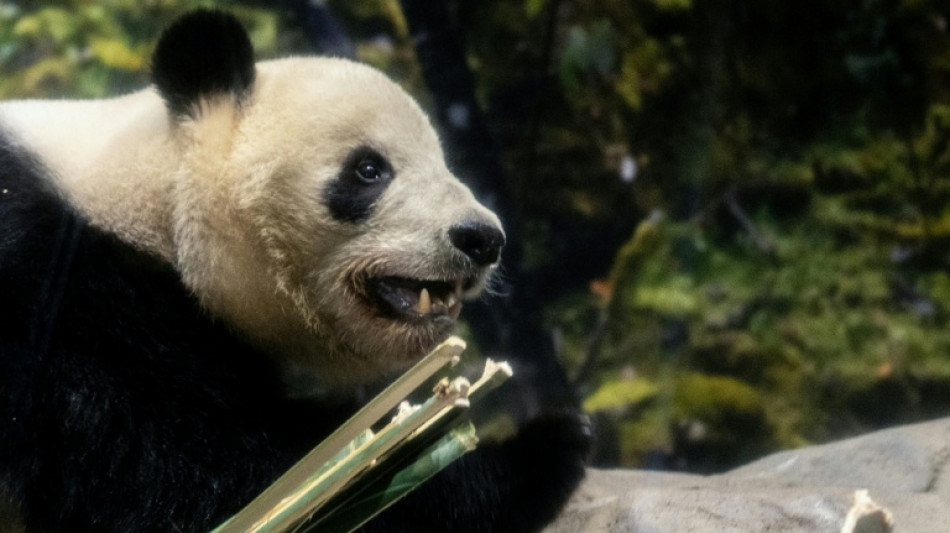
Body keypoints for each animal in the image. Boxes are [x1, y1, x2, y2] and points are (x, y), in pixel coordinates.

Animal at [0, 9, 588, 533]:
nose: (483, 238)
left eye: (443, 162)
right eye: (369, 169)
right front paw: (534, 450)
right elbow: (193, 474)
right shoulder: (56, 293)